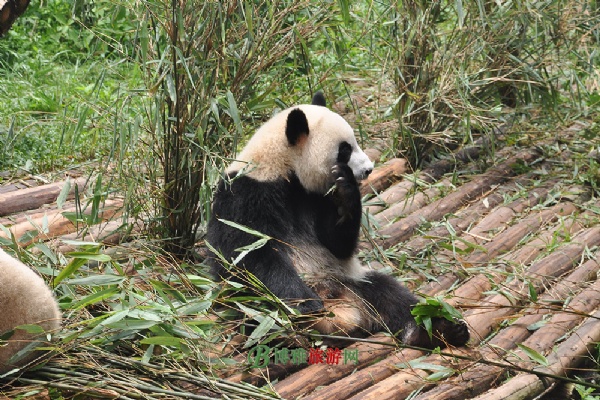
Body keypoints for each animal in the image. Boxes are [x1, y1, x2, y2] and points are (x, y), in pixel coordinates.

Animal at [207, 92, 469, 348]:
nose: (368, 169)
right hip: (252, 306)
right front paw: (306, 304)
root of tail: (343, 316)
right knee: (260, 313)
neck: (283, 168)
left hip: (351, 279)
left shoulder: (316, 198)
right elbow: (247, 255)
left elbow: (337, 243)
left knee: (391, 294)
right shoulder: (244, 196)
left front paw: (347, 192)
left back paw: (437, 331)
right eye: (345, 150)